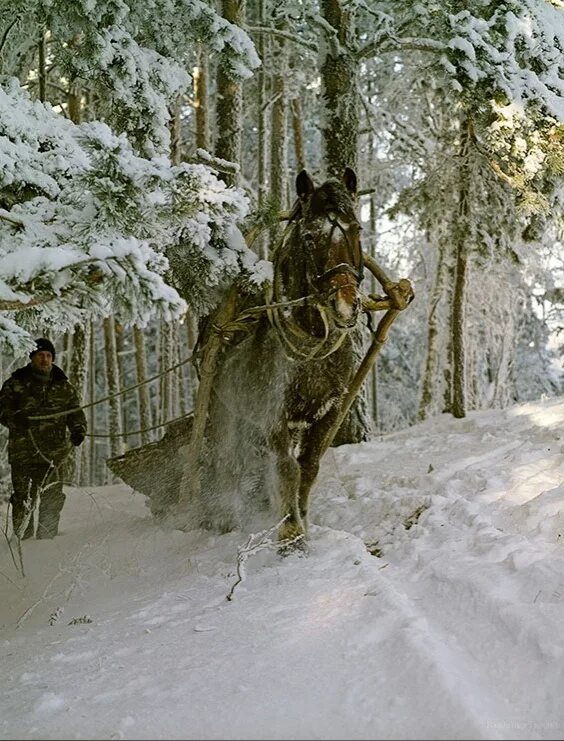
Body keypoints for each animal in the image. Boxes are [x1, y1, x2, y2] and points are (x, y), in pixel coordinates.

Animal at [182, 169, 366, 548]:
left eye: (357, 229)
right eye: (309, 237)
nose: (345, 305)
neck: (311, 350)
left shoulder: (326, 416)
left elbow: (308, 468)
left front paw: (302, 521)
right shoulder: (273, 416)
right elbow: (286, 468)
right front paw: (290, 535)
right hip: (225, 417)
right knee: (227, 465)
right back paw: (223, 517)